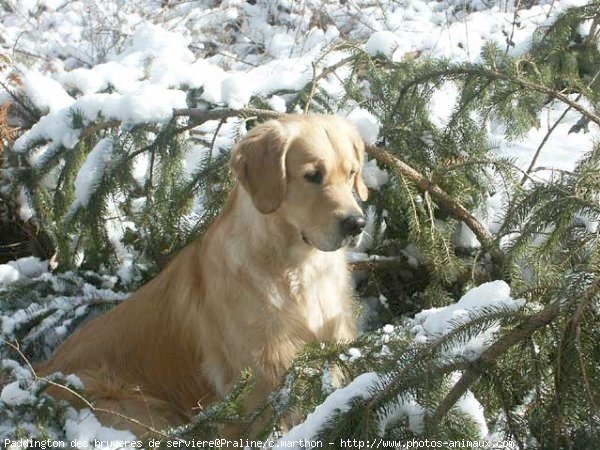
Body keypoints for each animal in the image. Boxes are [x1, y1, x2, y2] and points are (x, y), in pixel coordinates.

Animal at [37, 113, 368, 436]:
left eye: (351, 172)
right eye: (312, 175)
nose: (357, 224)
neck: (295, 268)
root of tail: (40, 372)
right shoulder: (262, 377)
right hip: (142, 412)